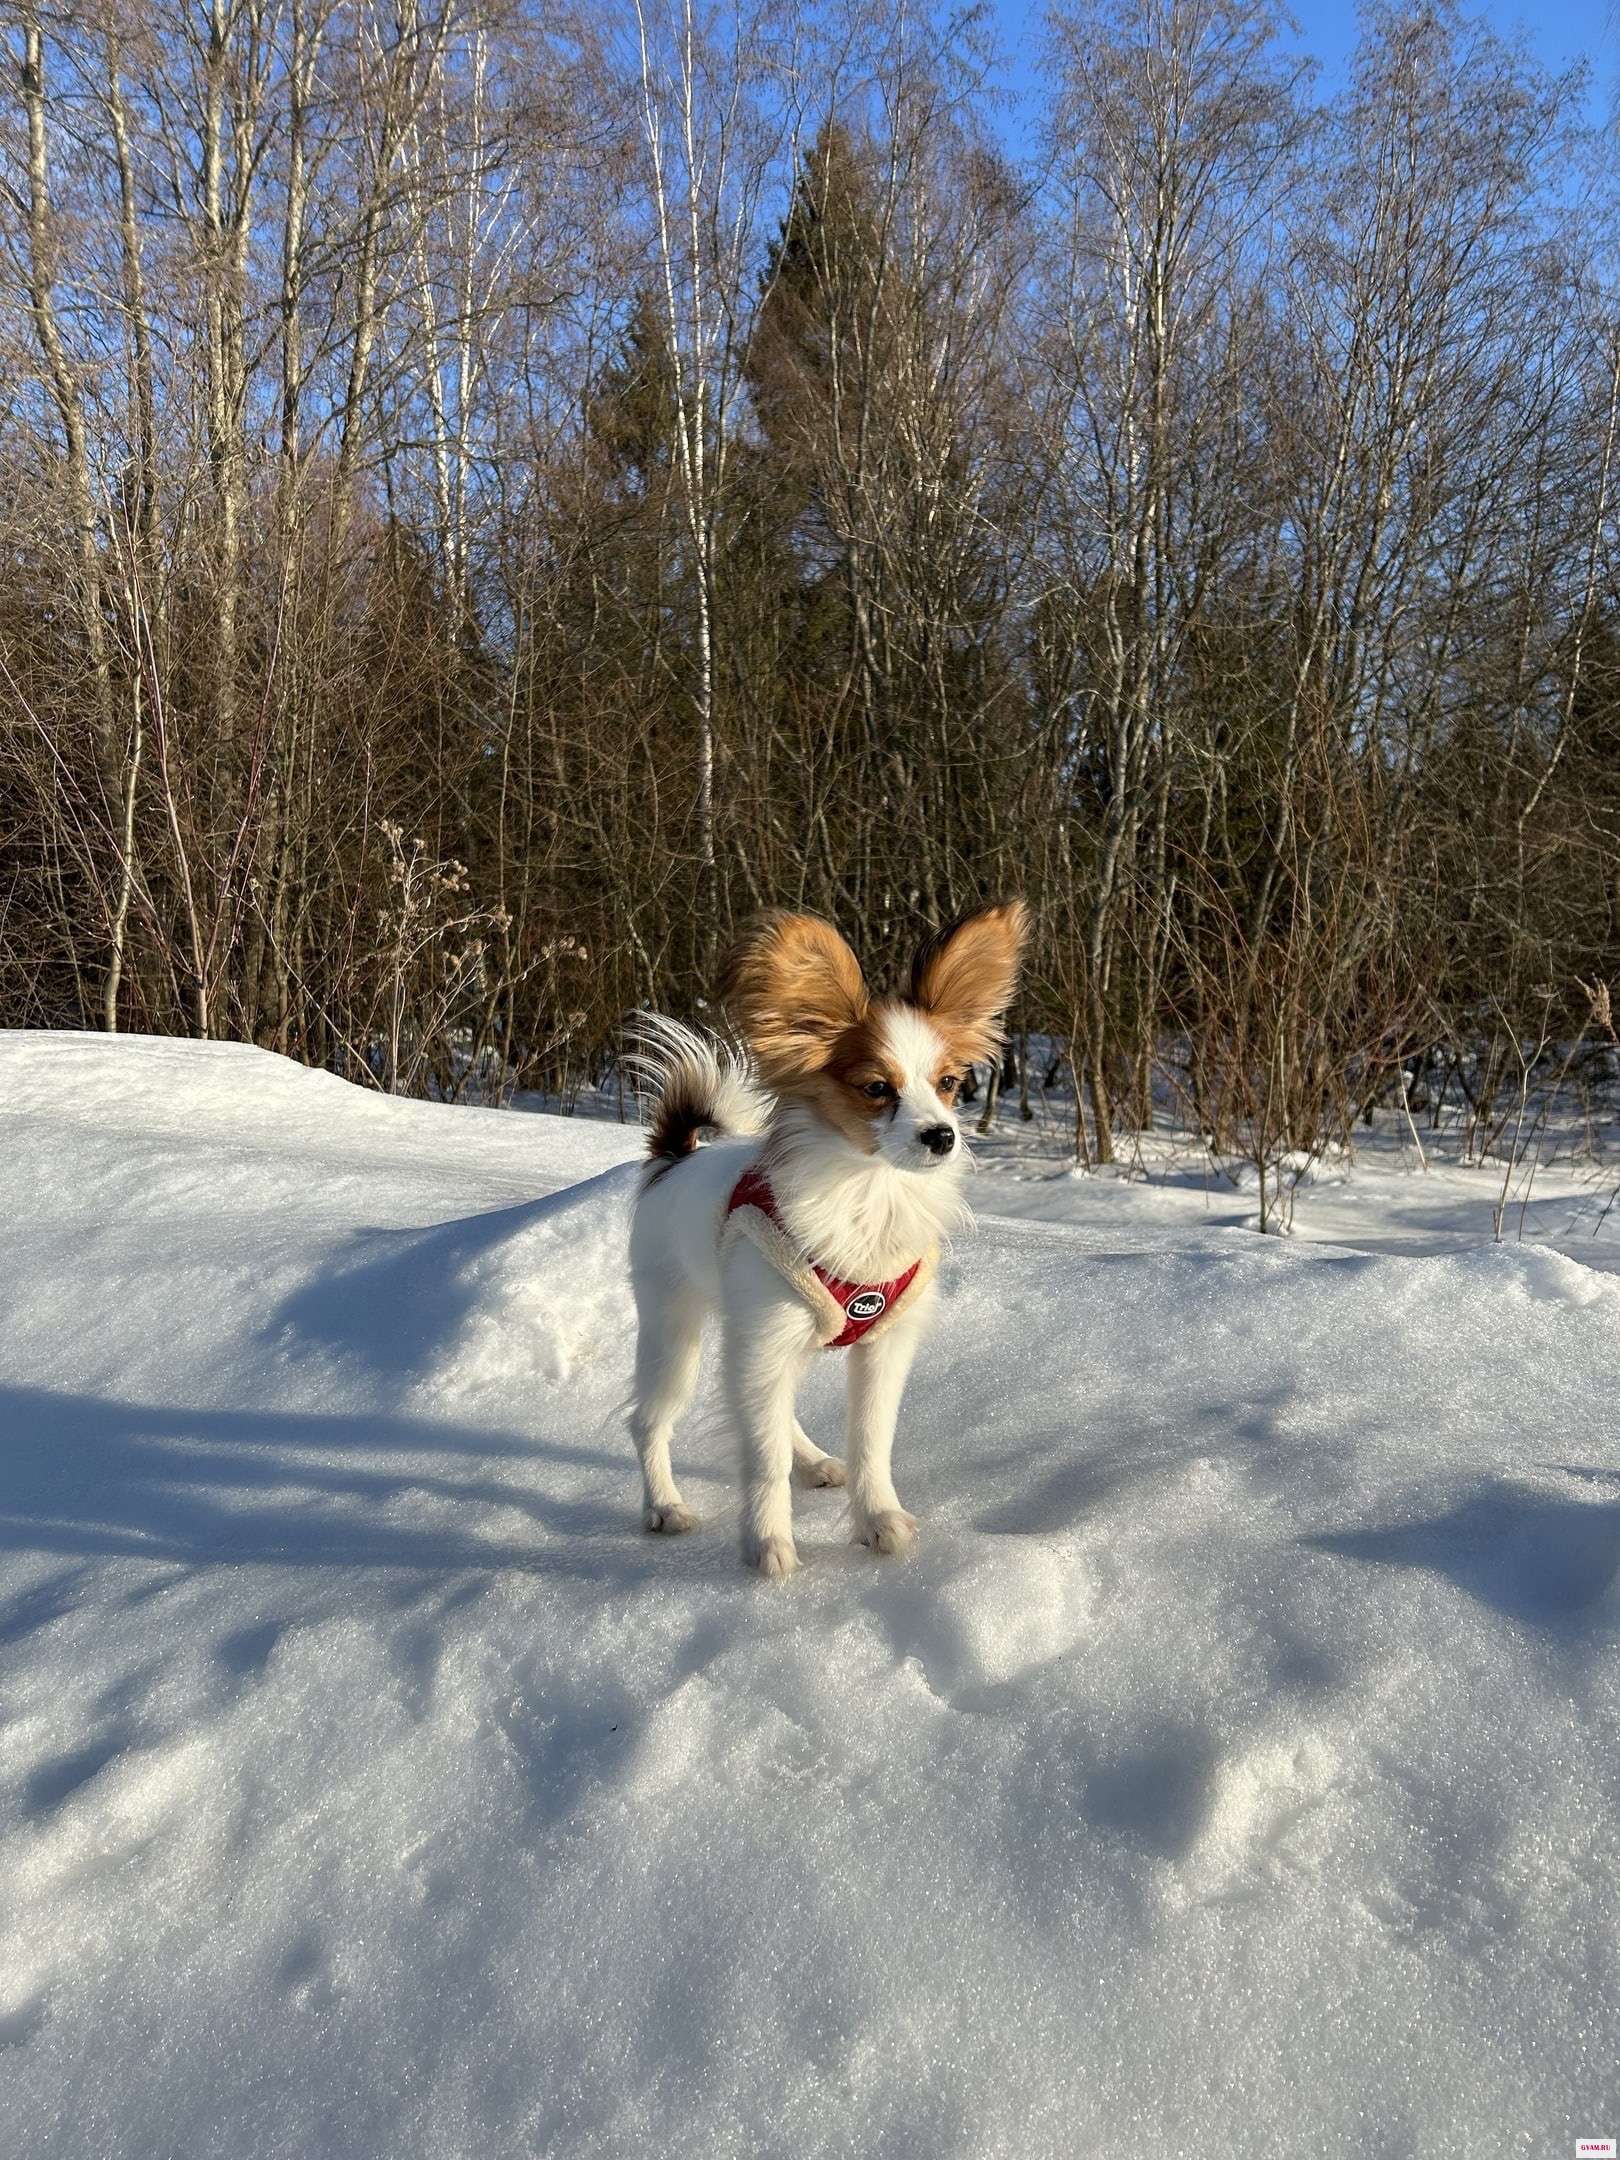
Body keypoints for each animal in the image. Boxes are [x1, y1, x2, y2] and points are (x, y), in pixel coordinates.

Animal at [626, 902, 1027, 1579]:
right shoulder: (765, 1339)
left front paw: (878, 1521)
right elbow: (762, 1461)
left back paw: (812, 1462)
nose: (942, 1136)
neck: (869, 1193)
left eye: (949, 1083)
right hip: (674, 1332)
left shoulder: (882, 1347)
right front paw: (768, 1545)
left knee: (773, 1409)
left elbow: (870, 1442)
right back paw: (664, 1506)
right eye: (877, 1088)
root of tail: (674, 1159)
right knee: (650, 1420)